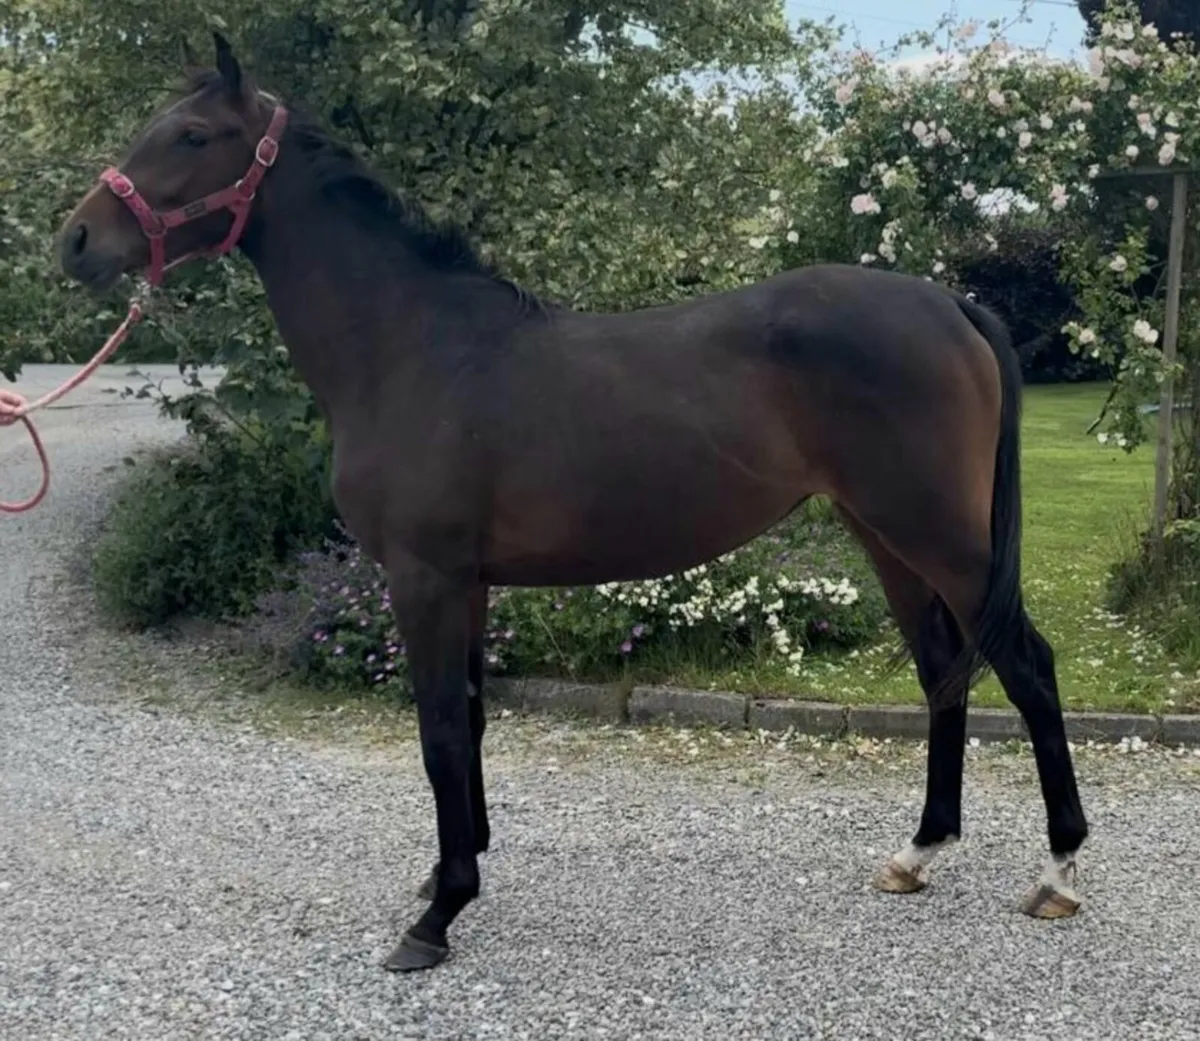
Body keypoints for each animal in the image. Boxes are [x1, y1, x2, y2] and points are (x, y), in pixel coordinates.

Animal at [57, 32, 1088, 972]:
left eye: (192, 134)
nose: (75, 240)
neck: (411, 346)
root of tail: (948, 304)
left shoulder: (424, 579)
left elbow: (438, 731)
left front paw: (437, 918)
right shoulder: (468, 582)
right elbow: (471, 719)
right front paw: (452, 871)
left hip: (938, 535)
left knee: (1026, 665)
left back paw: (1057, 873)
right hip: (884, 536)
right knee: (944, 669)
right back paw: (918, 853)